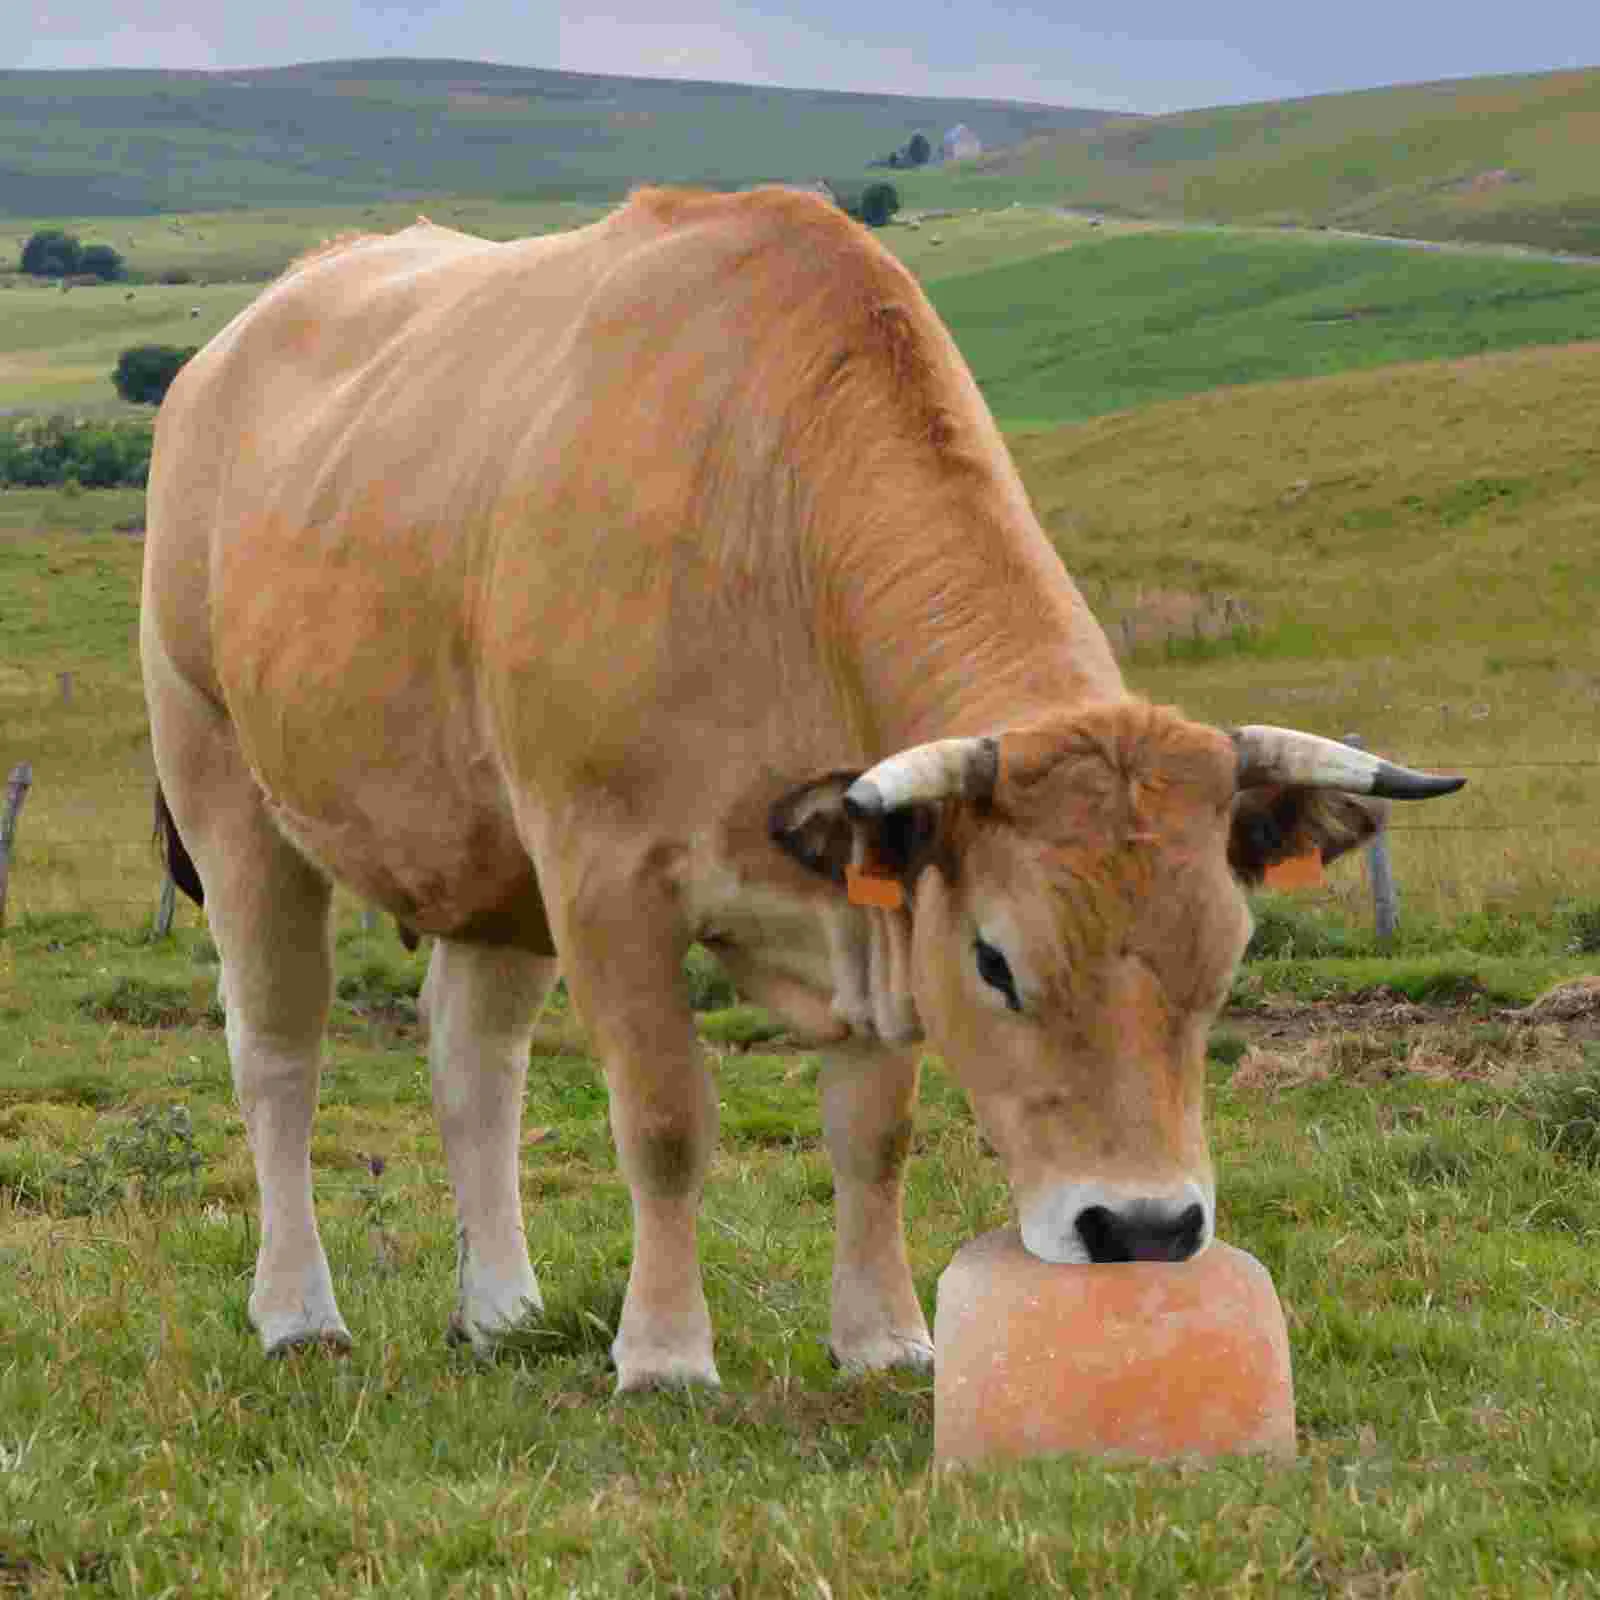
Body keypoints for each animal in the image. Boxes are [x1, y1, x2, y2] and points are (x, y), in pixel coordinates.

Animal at [137, 184, 1465, 1388]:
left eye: (1225, 960)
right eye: (996, 962)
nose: (1142, 1230)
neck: (767, 528)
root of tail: (241, 336)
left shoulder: (870, 890)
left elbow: (873, 1134)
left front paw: (881, 1338)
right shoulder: (605, 876)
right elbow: (666, 1123)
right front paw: (665, 1352)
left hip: (487, 857)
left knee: (474, 1061)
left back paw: (502, 1309)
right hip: (230, 796)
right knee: (278, 1054)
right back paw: (298, 1312)